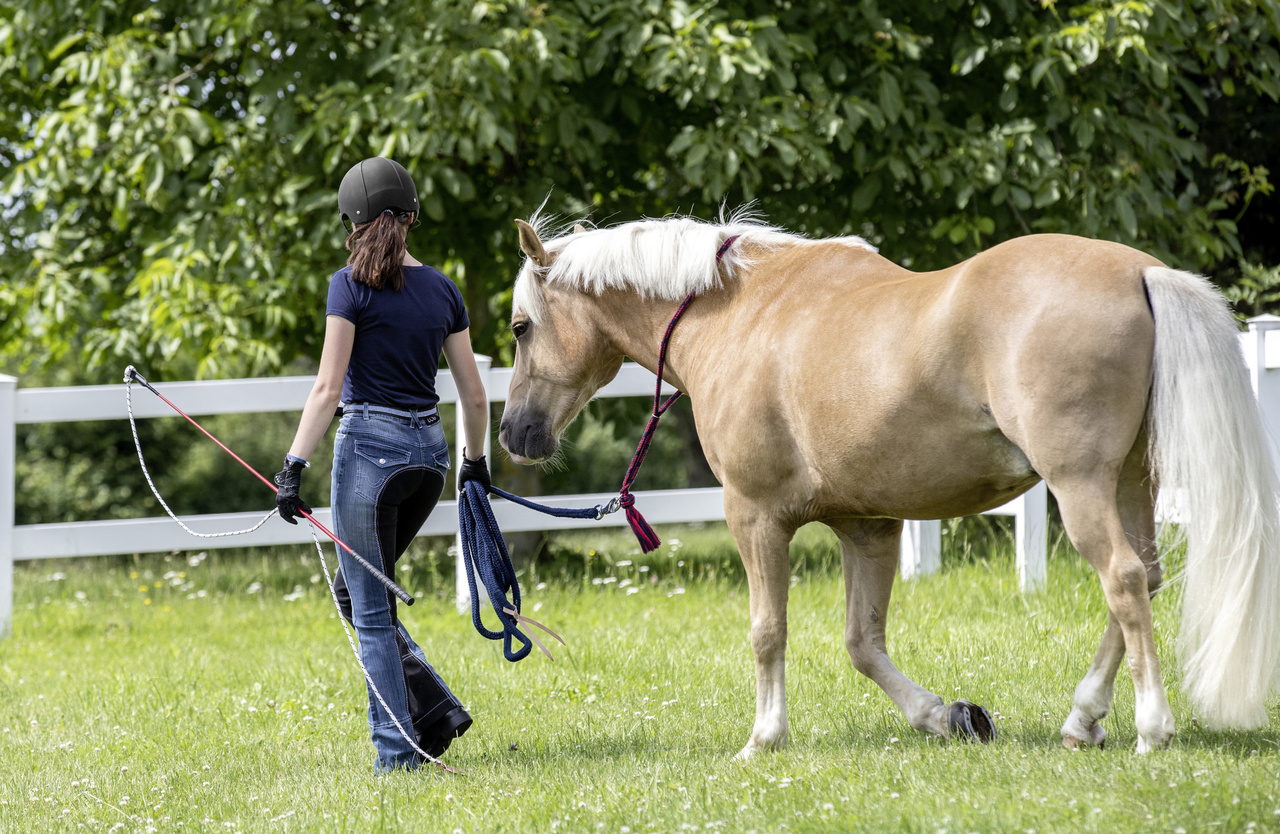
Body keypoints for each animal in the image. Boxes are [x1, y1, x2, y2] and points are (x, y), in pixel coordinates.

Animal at [491, 209, 1280, 757]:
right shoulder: (867, 526)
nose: (515, 433)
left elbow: (768, 632)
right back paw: (1083, 719)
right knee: (1146, 575)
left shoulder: (755, 516)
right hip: (1129, 480)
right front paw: (948, 716)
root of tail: (1142, 272)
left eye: (522, 326)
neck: (739, 313)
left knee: (1121, 578)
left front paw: (764, 739)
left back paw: (1150, 727)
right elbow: (862, 643)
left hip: (1079, 484)